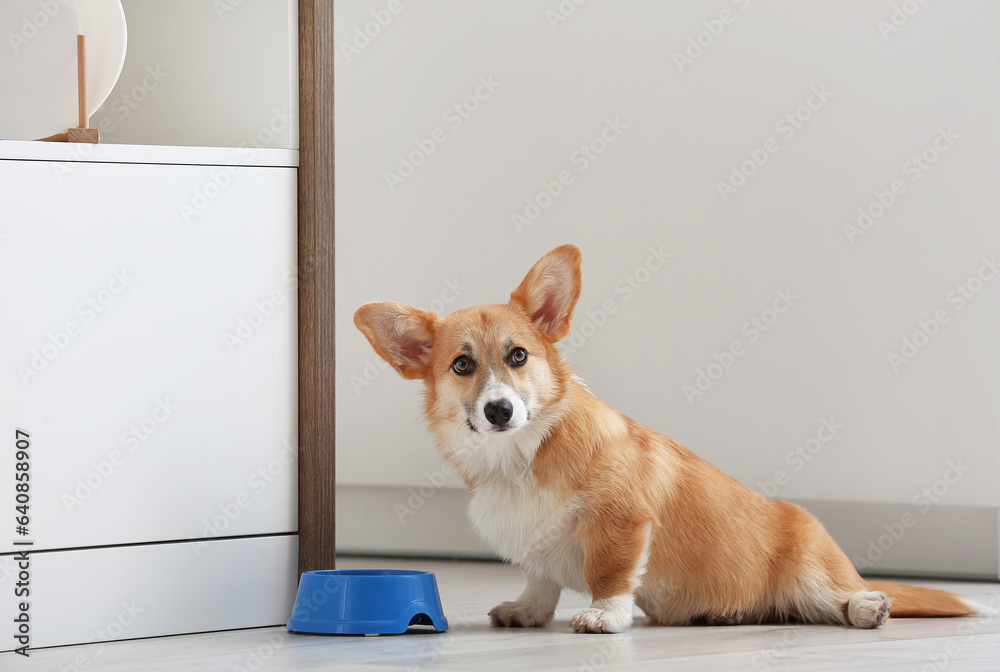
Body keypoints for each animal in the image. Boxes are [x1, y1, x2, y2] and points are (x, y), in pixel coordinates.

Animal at [356, 244, 988, 632]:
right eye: (461, 366)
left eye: (518, 356)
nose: (500, 410)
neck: (519, 454)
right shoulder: (538, 548)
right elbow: (540, 579)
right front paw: (527, 611)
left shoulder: (621, 523)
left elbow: (610, 574)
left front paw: (605, 618)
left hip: (809, 565)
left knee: (831, 601)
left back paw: (866, 606)